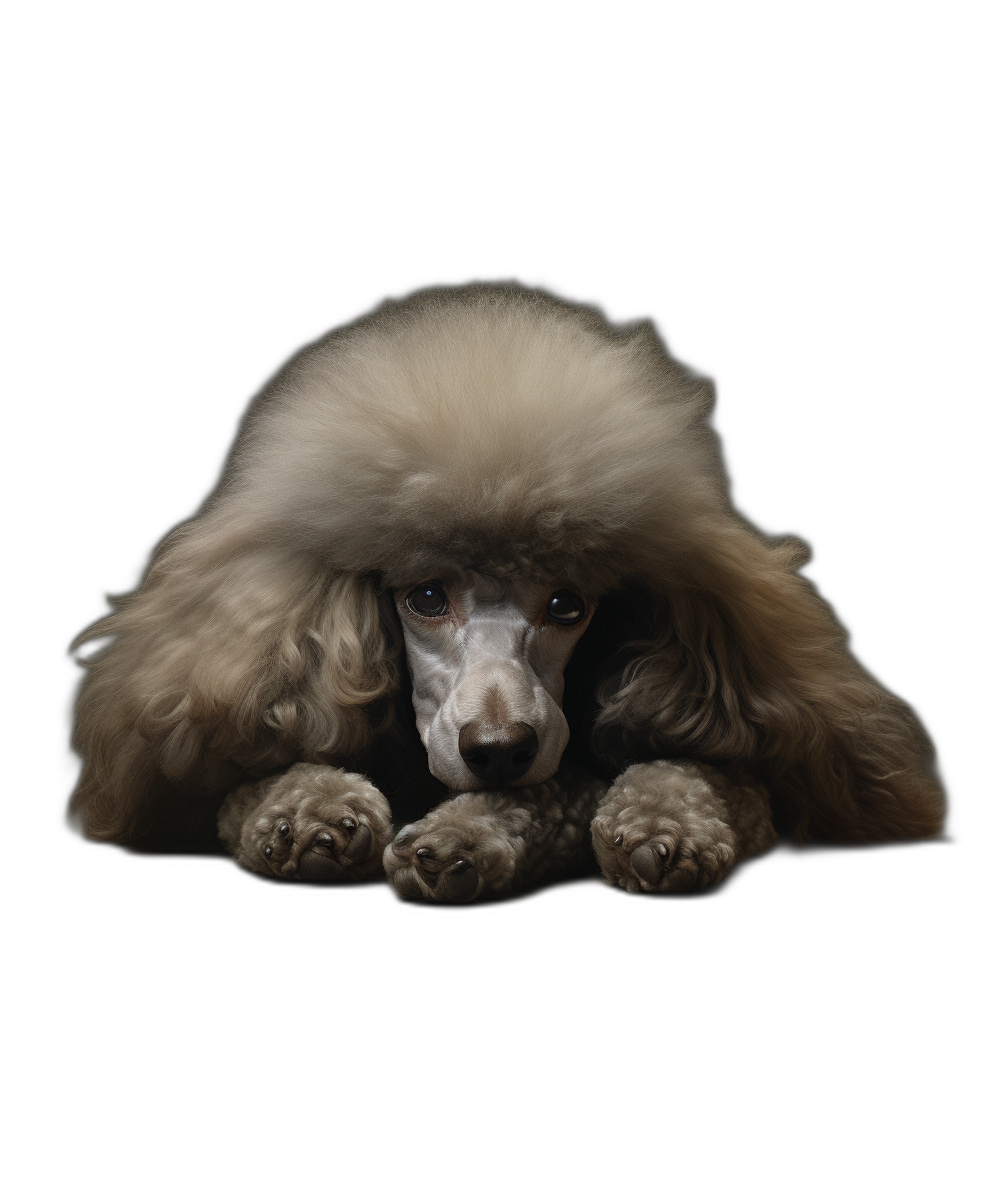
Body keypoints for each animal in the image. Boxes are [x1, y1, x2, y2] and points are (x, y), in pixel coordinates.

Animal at [66, 281, 952, 899]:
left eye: (568, 604)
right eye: (426, 597)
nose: (497, 750)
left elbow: (656, 775)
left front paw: (638, 827)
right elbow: (250, 779)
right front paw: (309, 812)